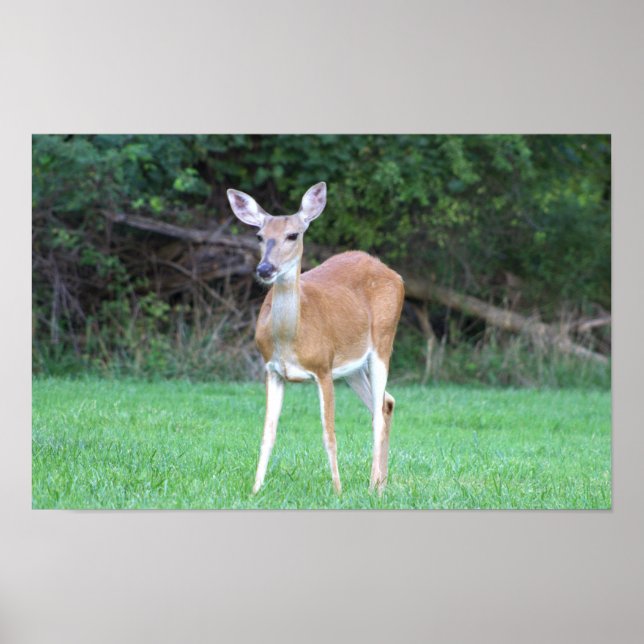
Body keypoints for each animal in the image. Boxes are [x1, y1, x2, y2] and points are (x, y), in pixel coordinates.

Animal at [227, 182, 404, 495]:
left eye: (292, 235)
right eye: (259, 235)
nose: (265, 269)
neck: (291, 340)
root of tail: (393, 274)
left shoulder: (323, 367)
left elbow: (328, 434)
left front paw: (338, 490)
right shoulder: (272, 370)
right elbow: (267, 433)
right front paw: (255, 490)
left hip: (384, 341)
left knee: (377, 415)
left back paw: (373, 484)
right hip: (352, 367)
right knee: (385, 403)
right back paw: (381, 484)